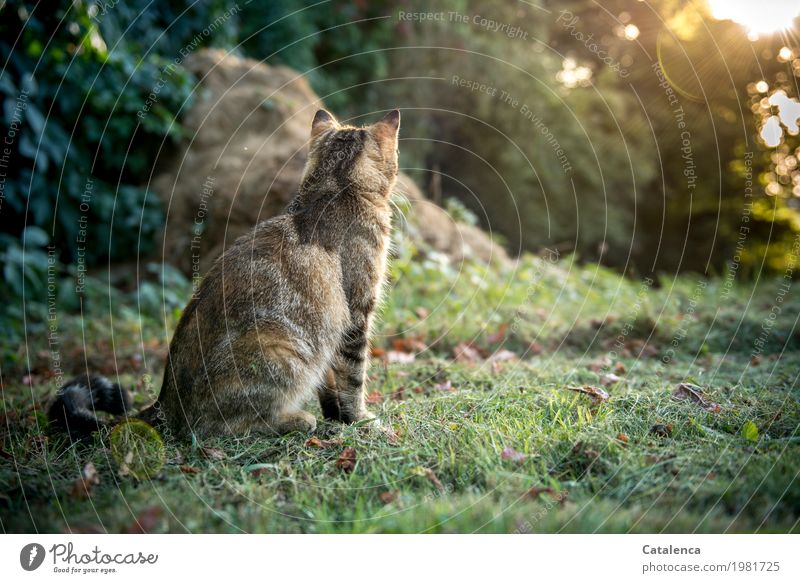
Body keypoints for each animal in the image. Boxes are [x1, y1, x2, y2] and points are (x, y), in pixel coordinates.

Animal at [48, 108, 398, 438]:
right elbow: (352, 379)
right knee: (223, 426)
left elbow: (330, 381)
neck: (332, 189)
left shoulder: (331, 331)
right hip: (278, 348)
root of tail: (165, 405)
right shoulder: (355, 315)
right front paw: (361, 421)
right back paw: (295, 420)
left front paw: (337, 417)